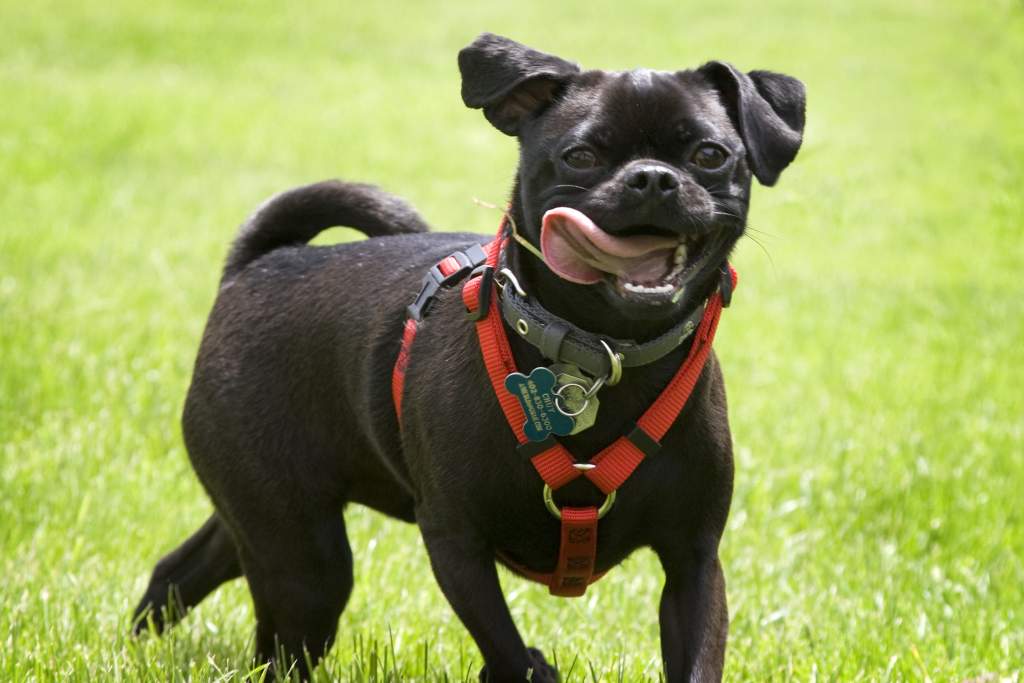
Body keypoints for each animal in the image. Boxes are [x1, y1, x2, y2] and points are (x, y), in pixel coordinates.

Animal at [132, 33, 802, 683]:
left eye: (710, 156)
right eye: (581, 156)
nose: (653, 177)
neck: (604, 352)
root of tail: (259, 264)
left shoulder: (693, 563)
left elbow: (696, 660)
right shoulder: (456, 544)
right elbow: (506, 649)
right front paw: (529, 666)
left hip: (270, 520)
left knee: (186, 568)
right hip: (305, 556)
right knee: (281, 644)